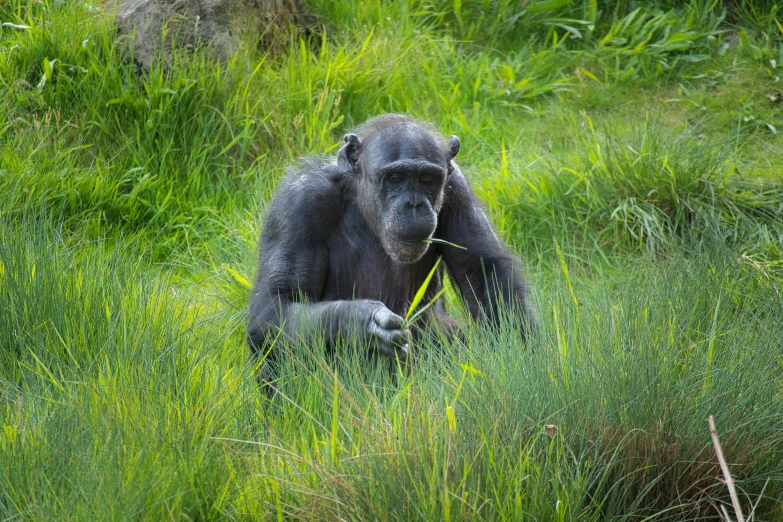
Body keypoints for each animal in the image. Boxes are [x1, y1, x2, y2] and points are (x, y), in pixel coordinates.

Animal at [248, 111, 536, 384]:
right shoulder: (298, 204)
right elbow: (278, 299)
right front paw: (363, 323)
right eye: (396, 177)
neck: (360, 201)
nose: (414, 204)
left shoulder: (457, 188)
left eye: (428, 180)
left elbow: (483, 270)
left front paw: (520, 361)